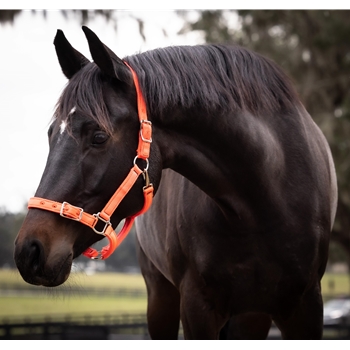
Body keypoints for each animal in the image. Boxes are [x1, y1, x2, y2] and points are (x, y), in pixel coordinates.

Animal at [13, 26, 336, 340]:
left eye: (99, 137)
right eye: (51, 134)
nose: (29, 251)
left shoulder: (305, 305)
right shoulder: (197, 307)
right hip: (162, 297)